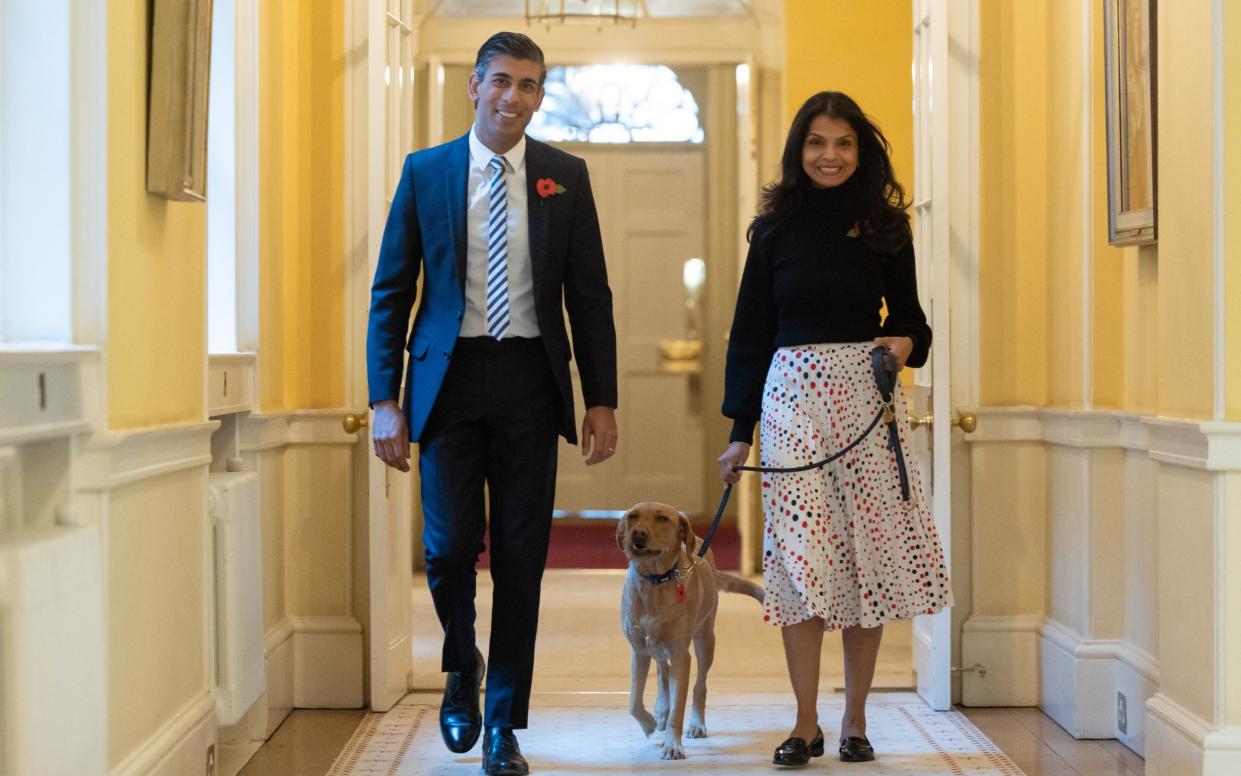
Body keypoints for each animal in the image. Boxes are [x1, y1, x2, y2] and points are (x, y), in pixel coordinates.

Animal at [613, 499, 759, 759]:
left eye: (662, 518)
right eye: (633, 516)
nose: (637, 534)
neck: (655, 582)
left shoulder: (682, 655)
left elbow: (678, 707)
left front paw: (672, 745)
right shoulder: (638, 651)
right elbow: (633, 703)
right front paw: (650, 723)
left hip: (705, 640)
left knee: (699, 686)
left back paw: (696, 724)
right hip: (656, 646)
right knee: (662, 671)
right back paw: (661, 711)